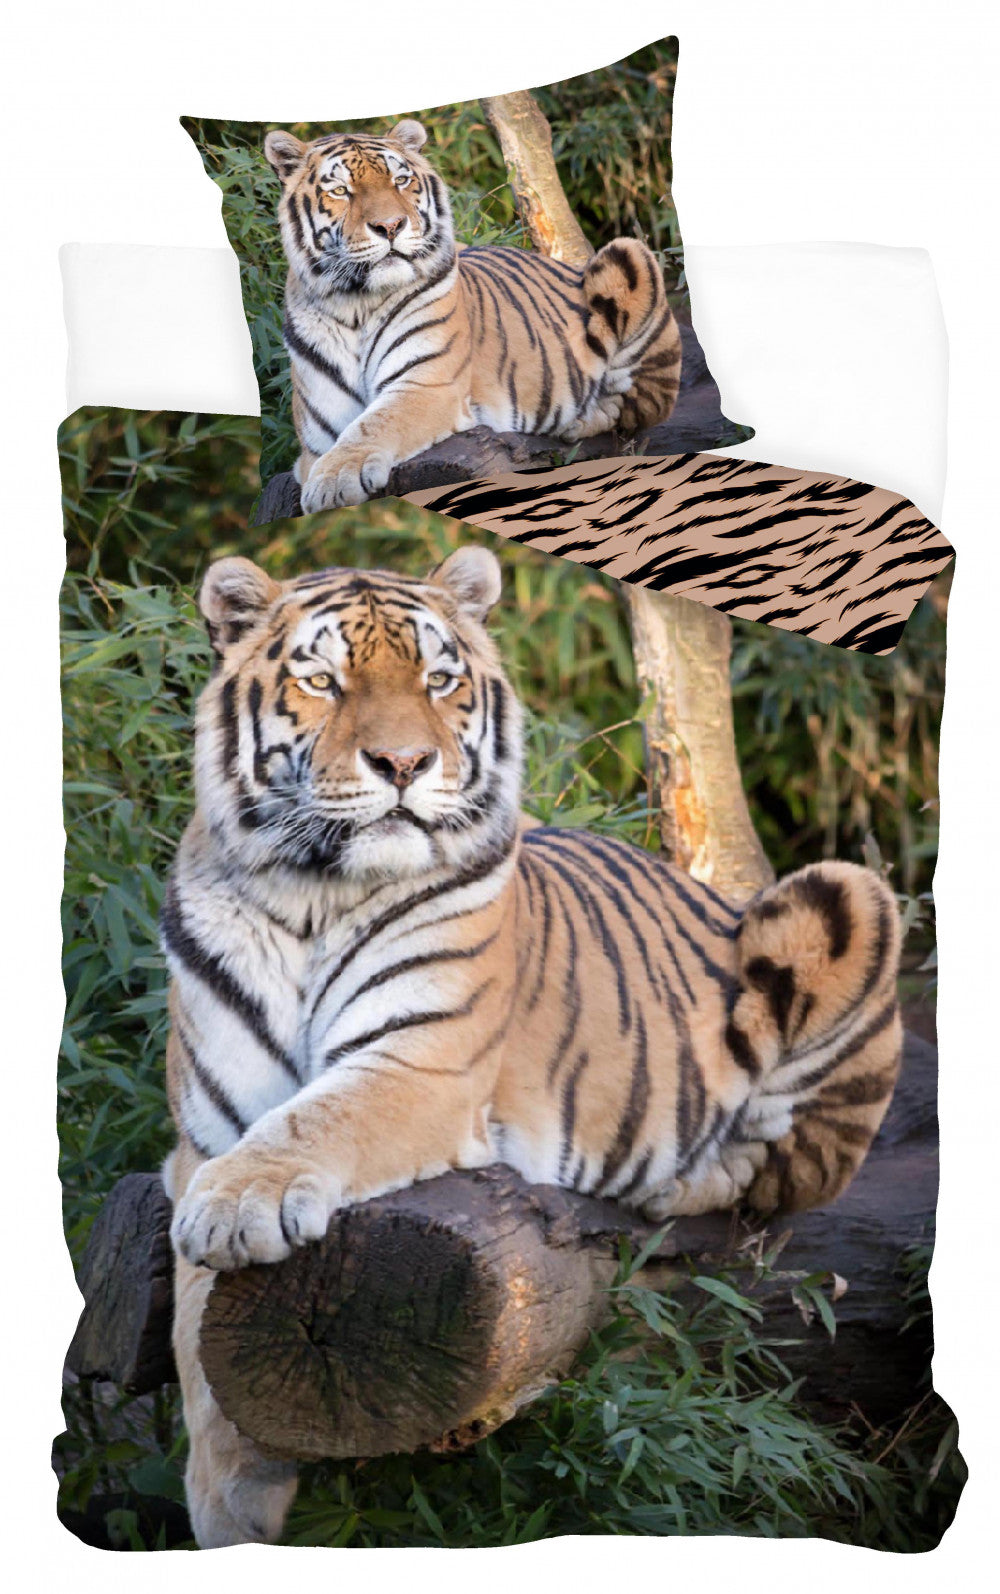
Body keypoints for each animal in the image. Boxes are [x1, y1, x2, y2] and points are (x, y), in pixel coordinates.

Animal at [163, 545, 902, 1547]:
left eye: (438, 681)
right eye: (323, 682)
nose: (405, 762)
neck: (311, 893)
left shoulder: (419, 1064)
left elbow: (315, 1123)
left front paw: (239, 1206)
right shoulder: (199, 1134)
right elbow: (191, 1329)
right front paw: (228, 1501)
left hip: (845, 894)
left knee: (787, 1172)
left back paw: (677, 1182)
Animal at [263, 120, 681, 513]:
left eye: (401, 181)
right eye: (339, 191)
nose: (391, 227)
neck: (356, 304)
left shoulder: (427, 384)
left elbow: (374, 424)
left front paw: (333, 482)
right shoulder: (317, 435)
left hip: (630, 255)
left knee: (637, 410)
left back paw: (574, 423)